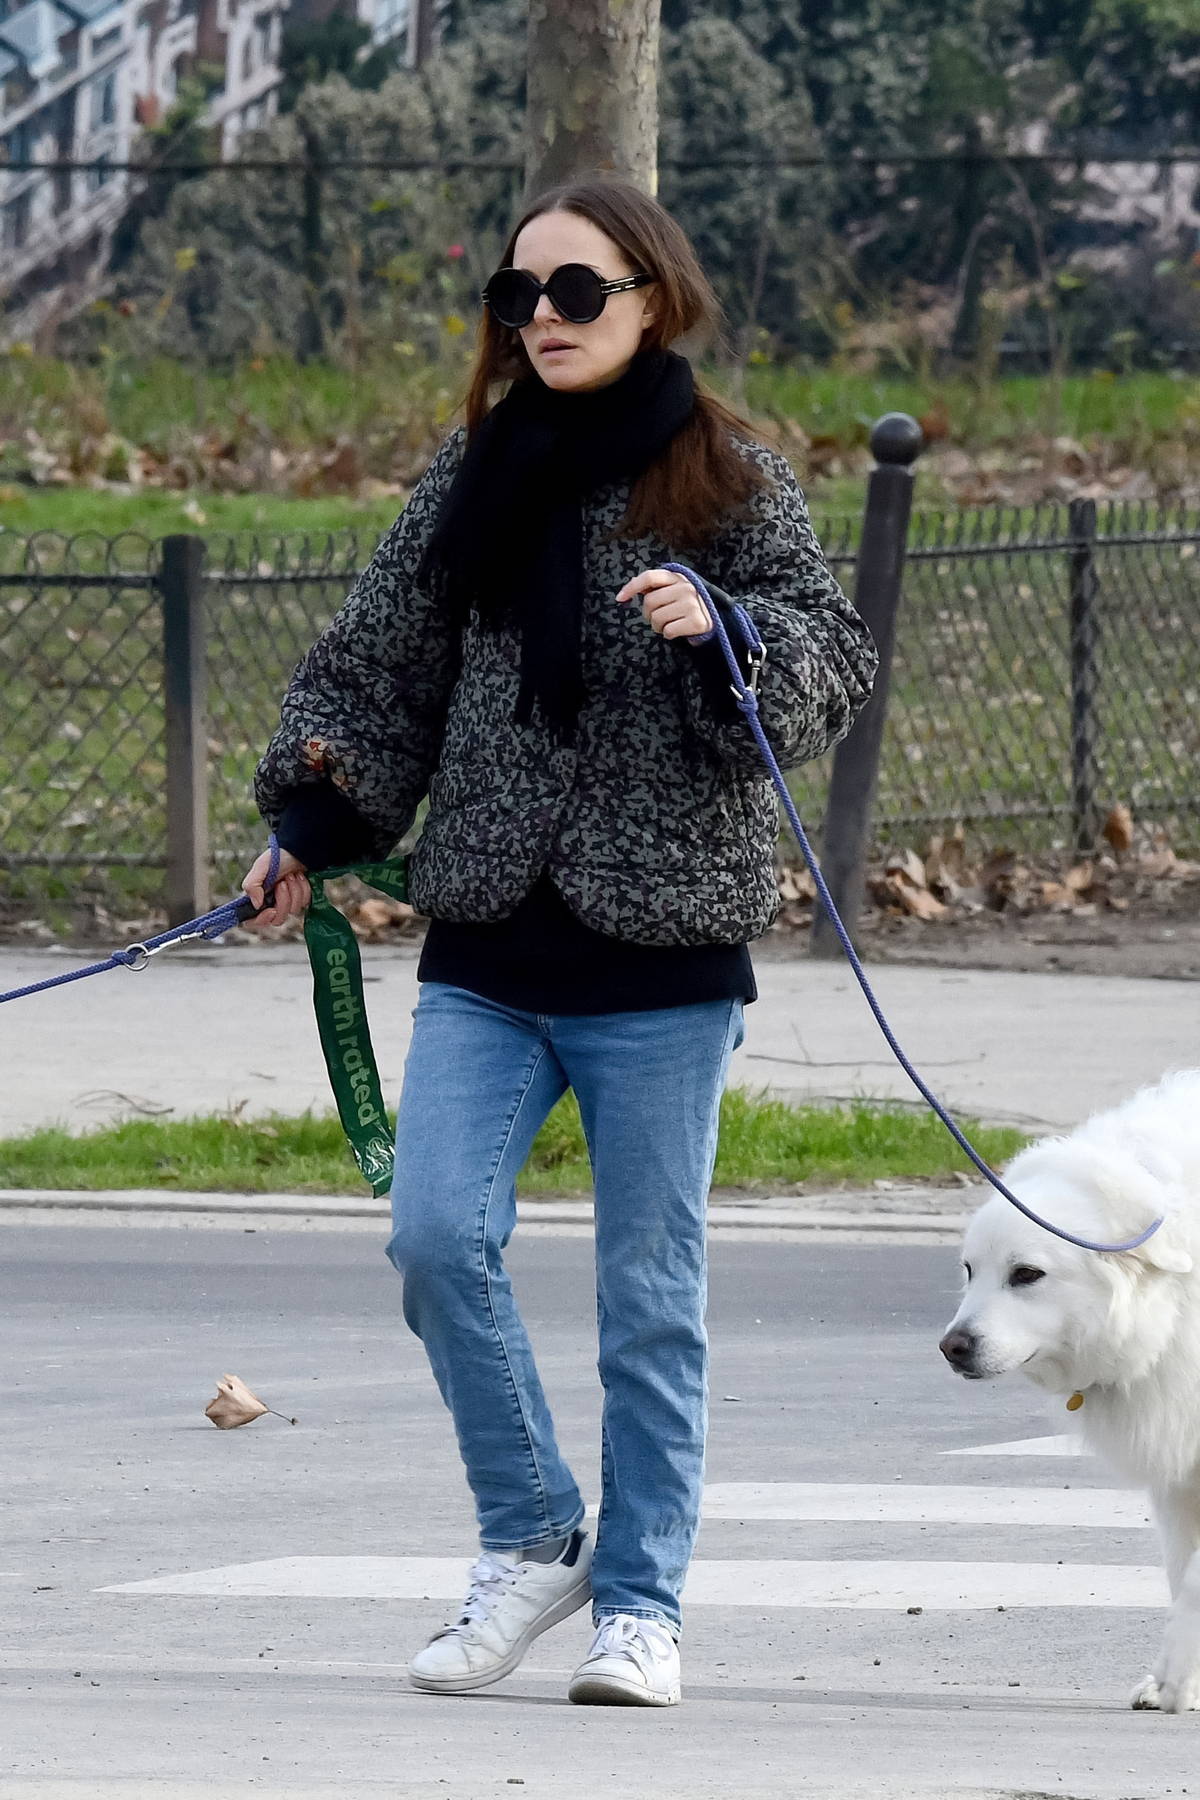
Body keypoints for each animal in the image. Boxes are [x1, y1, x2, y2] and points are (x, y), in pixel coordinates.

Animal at [935, 1065, 1200, 1713]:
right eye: (970, 1271)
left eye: (1027, 1274)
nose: (952, 1347)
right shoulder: (1178, 1472)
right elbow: (1181, 1573)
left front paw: (1179, 1680)